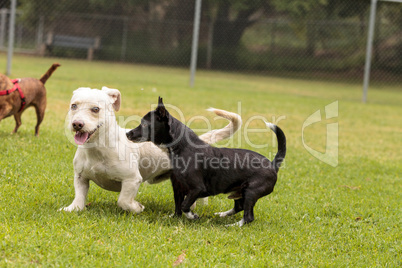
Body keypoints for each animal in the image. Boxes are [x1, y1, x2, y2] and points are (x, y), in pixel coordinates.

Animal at [60, 86, 242, 214]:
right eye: (73, 106)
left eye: (95, 109)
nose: (77, 124)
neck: (97, 149)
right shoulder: (81, 177)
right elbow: (79, 196)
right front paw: (73, 208)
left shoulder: (132, 179)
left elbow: (123, 201)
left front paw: (137, 207)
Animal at [126, 97, 286, 226]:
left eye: (144, 124)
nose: (128, 133)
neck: (183, 148)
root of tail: (273, 165)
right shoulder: (177, 187)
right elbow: (178, 206)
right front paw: (174, 217)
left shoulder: (197, 188)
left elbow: (185, 205)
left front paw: (192, 216)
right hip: (241, 192)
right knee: (239, 207)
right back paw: (222, 215)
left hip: (251, 192)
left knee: (248, 217)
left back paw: (232, 226)